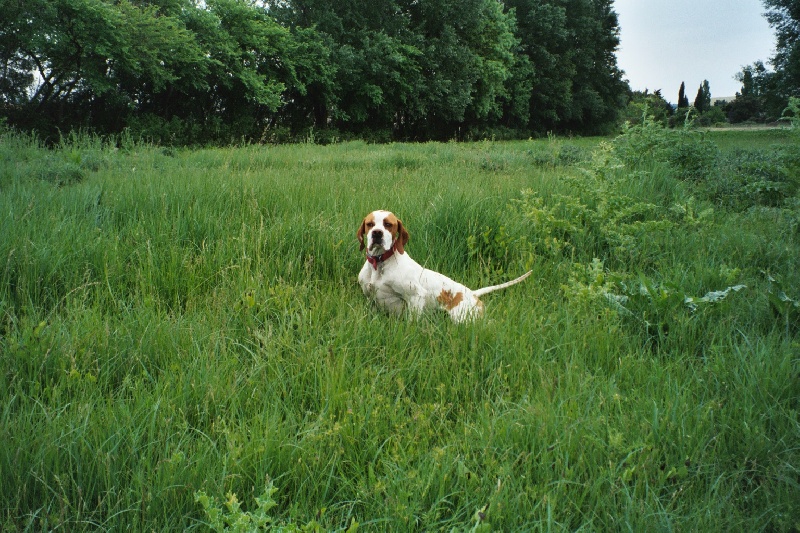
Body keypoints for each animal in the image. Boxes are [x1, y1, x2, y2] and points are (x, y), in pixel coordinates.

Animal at [356, 210, 532, 322]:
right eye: (370, 224)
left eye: (388, 224)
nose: (377, 233)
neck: (379, 264)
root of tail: (473, 294)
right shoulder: (370, 299)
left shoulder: (416, 296)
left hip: (464, 319)